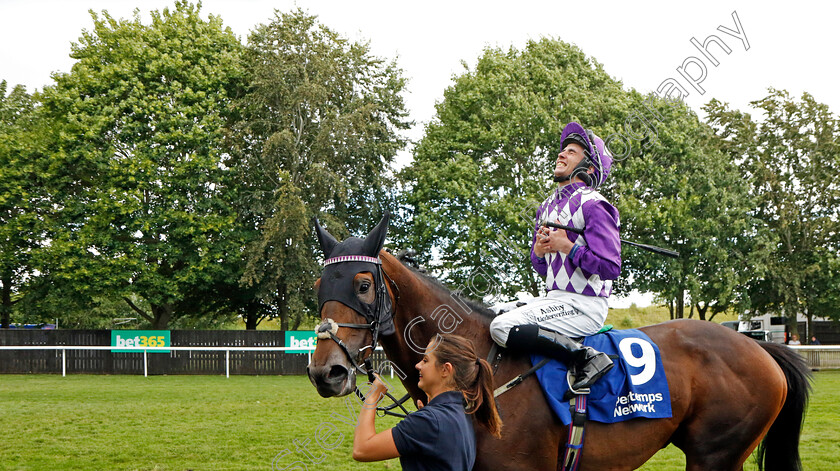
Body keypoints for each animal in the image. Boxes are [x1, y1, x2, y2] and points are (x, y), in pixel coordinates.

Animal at [306, 215, 812, 471]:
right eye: (319, 285)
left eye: (363, 285)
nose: (325, 371)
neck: (482, 366)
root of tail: (759, 347)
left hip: (716, 456)